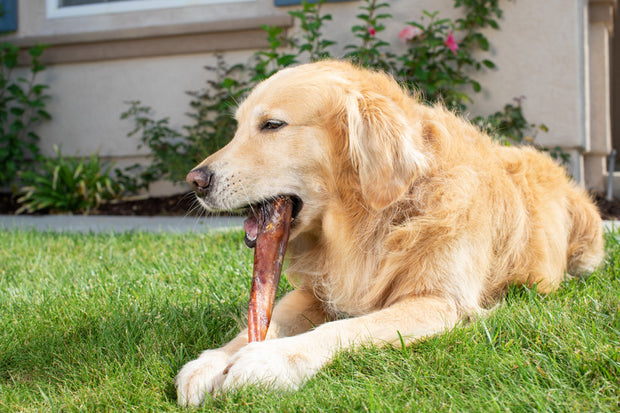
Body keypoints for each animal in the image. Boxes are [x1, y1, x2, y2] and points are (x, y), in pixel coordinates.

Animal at [177, 59, 604, 404]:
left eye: (272, 125)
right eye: (237, 128)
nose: (195, 181)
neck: (371, 219)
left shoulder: (440, 302)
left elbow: (343, 328)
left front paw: (270, 361)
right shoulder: (311, 293)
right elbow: (266, 322)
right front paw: (211, 362)